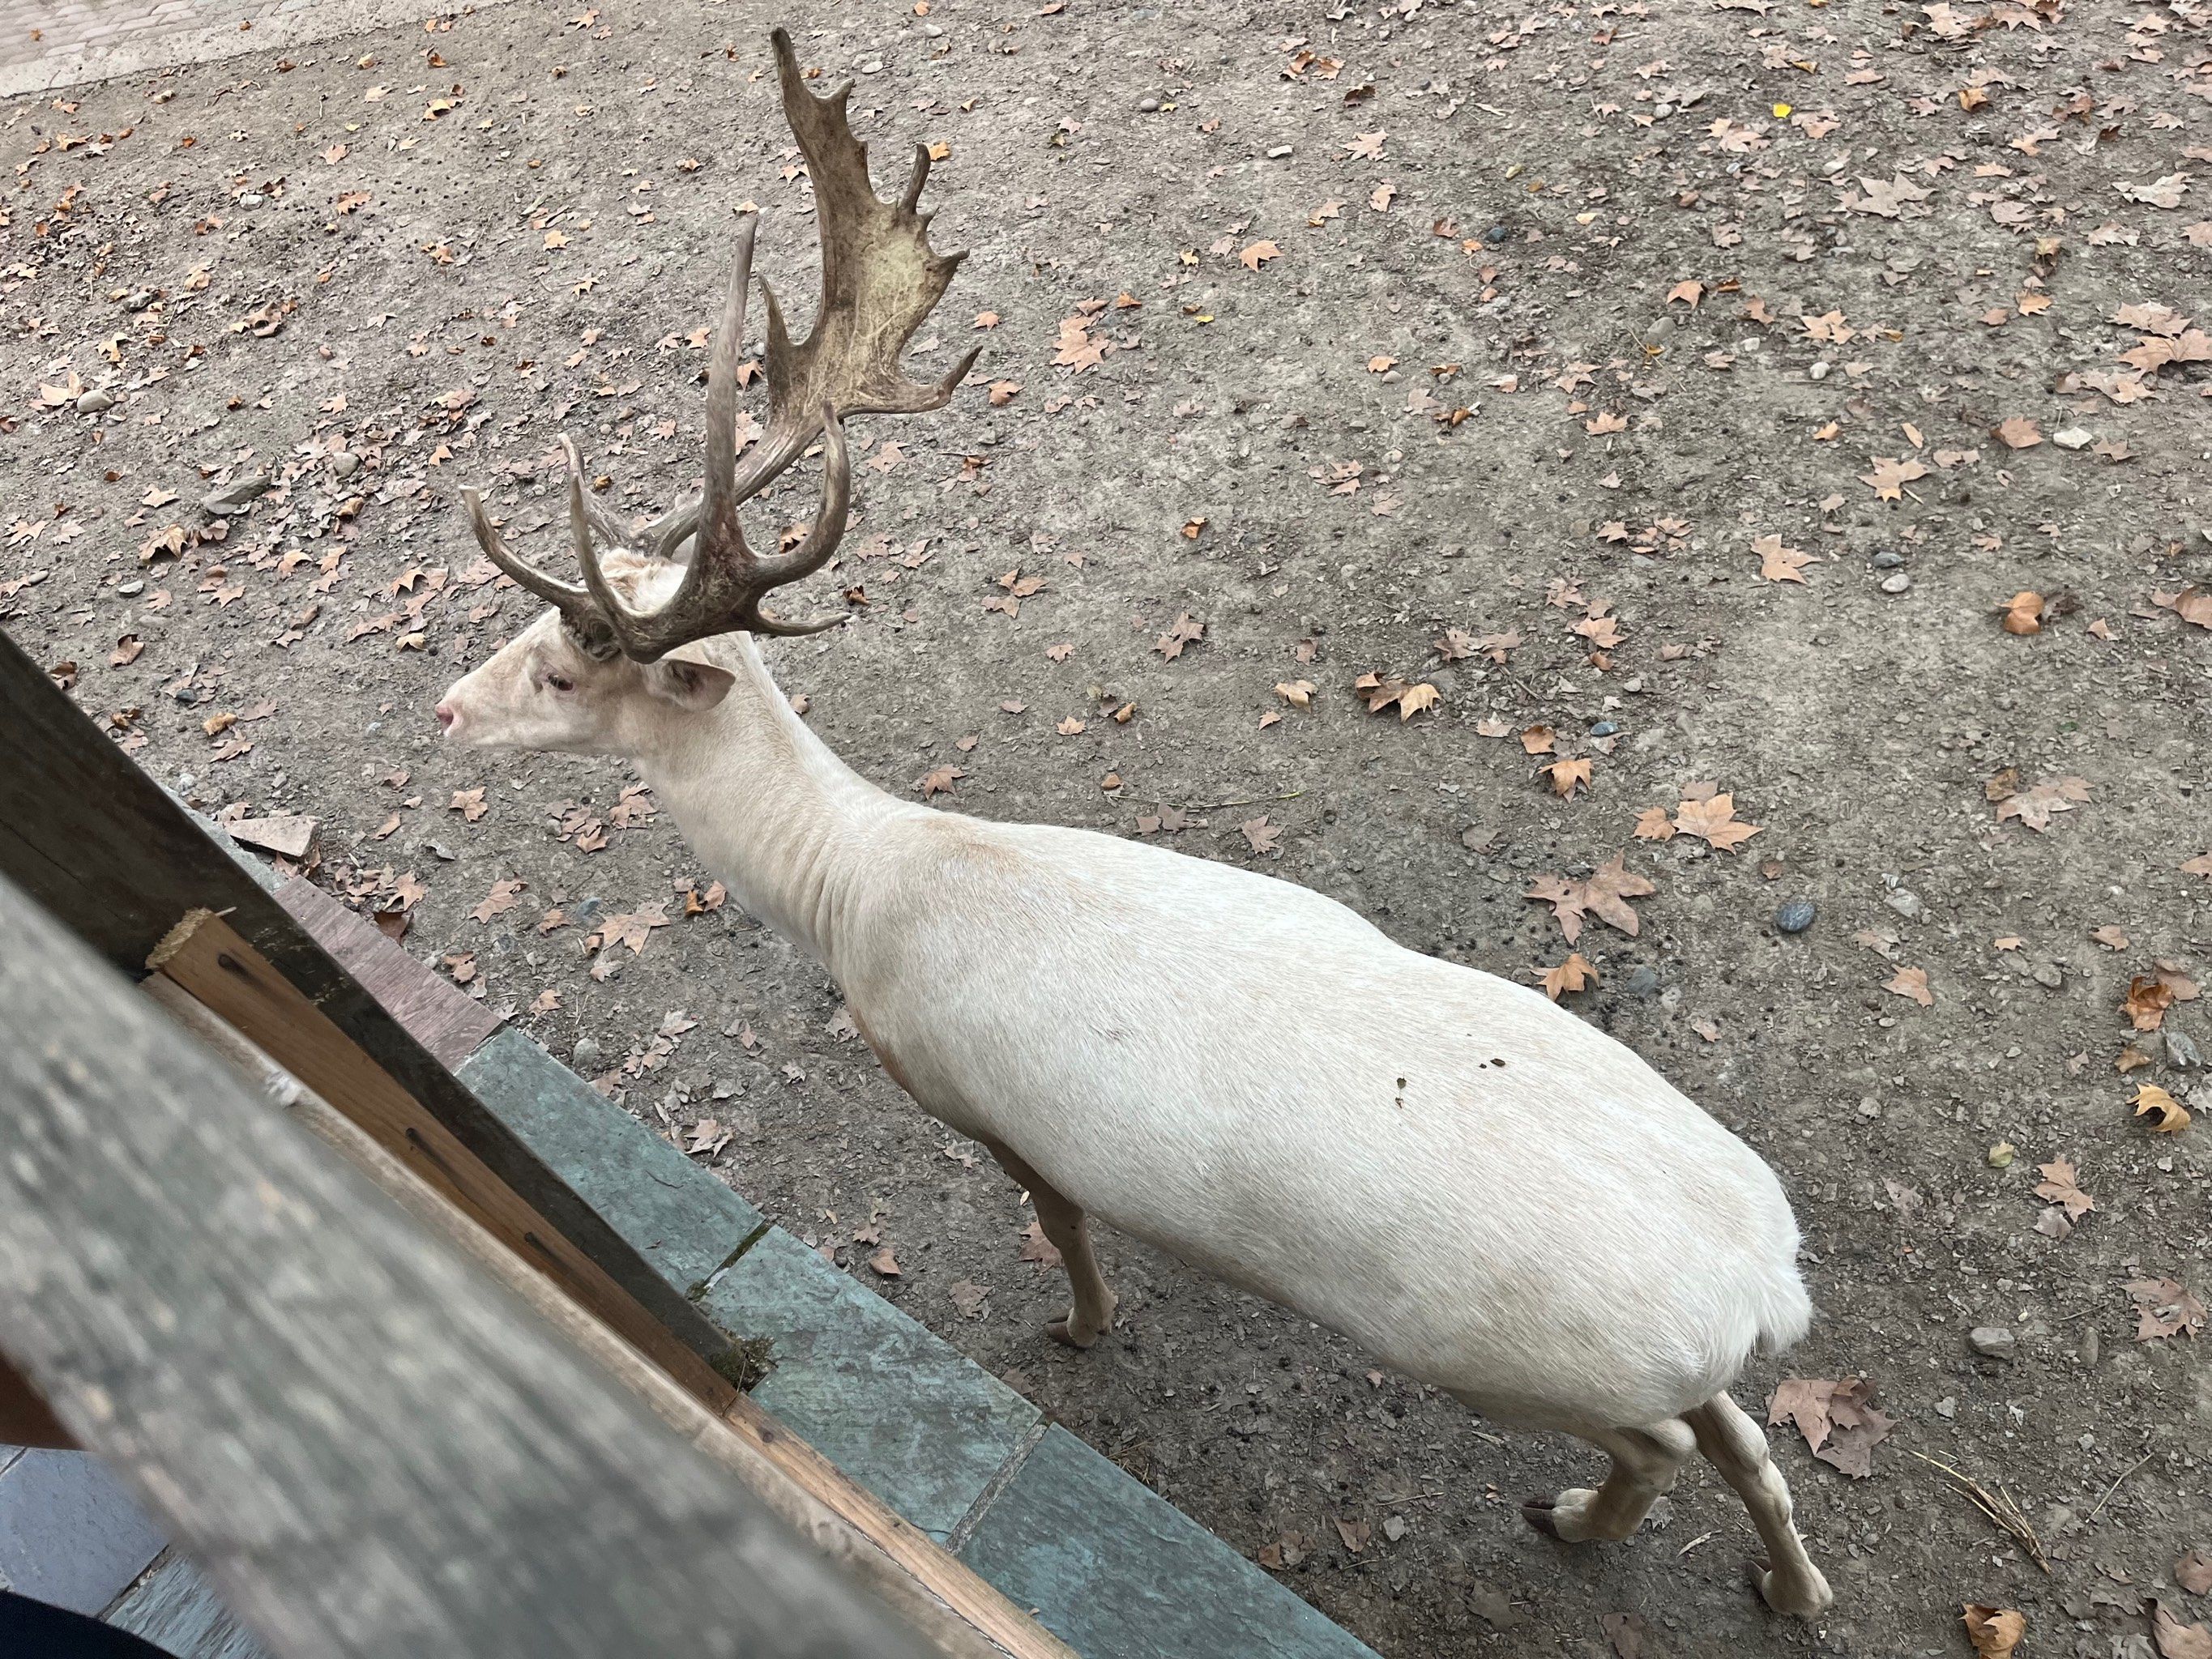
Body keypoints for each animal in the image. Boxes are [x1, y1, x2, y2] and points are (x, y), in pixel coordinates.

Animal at [435, 29, 1833, 1621]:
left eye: (563, 667)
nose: (447, 708)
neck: (858, 889)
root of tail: (1762, 1280)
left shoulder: (971, 1099)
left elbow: (1061, 1225)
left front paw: (1084, 1328)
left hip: (1521, 1361)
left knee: (1667, 1440)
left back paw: (1579, 1520)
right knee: (1748, 1441)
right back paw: (1794, 1590)